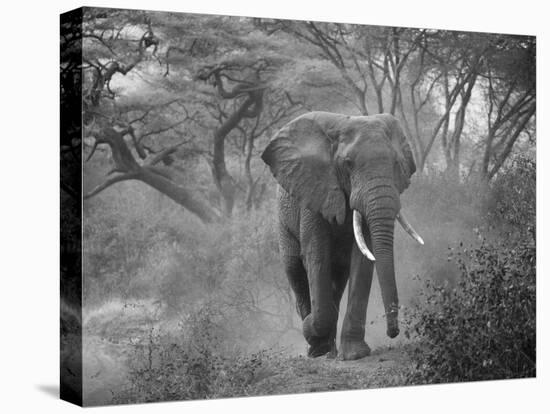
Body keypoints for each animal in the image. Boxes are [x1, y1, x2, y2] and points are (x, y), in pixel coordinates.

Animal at [260, 110, 424, 360]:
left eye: (396, 164)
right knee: (295, 271)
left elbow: (363, 261)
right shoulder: (314, 194)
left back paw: (329, 350)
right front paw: (311, 330)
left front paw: (355, 354)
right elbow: (316, 257)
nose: (393, 332)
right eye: (348, 164)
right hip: (283, 221)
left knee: (336, 281)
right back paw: (317, 347)